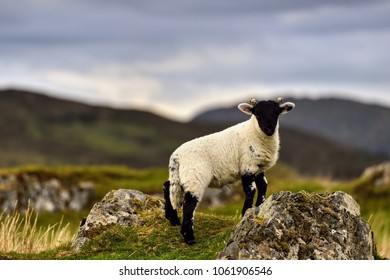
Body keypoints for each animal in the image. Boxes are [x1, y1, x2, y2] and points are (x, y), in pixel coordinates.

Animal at [163, 97, 294, 244]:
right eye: (257, 113)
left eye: (276, 112)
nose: (269, 128)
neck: (254, 133)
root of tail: (176, 157)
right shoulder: (247, 166)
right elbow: (251, 190)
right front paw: (245, 212)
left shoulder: (258, 167)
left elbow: (263, 186)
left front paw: (259, 206)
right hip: (195, 176)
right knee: (189, 204)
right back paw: (189, 237)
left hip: (180, 176)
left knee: (167, 186)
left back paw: (173, 219)